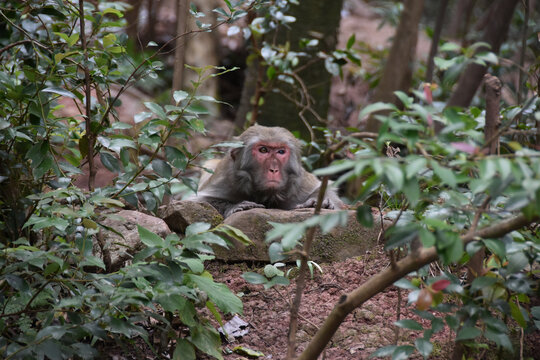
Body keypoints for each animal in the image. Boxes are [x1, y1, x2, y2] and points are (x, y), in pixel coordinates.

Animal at [194, 125, 344, 218]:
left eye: (281, 151)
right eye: (263, 150)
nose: (273, 169)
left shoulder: (299, 183)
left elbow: (324, 188)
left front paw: (318, 202)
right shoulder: (226, 179)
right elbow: (201, 201)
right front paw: (234, 206)